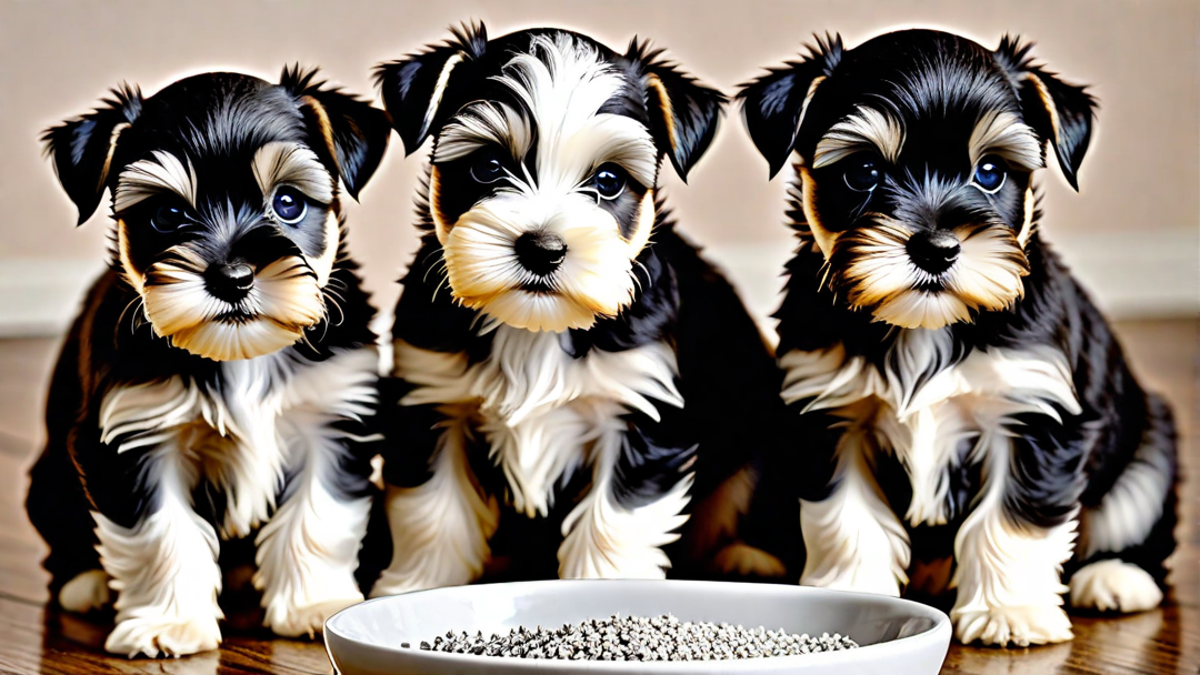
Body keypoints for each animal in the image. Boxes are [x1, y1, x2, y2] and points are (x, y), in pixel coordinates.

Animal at [27, 65, 388, 653]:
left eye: (288, 203)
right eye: (167, 215)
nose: (233, 277)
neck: (241, 352)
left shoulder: (332, 414)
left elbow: (318, 516)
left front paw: (314, 607)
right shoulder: (136, 434)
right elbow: (160, 533)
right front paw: (167, 625)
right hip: (50, 478)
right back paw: (86, 584)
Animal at [367, 21, 787, 590]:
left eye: (608, 181)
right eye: (487, 167)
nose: (543, 248)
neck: (536, 328)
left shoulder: (639, 408)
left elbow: (611, 523)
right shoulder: (431, 397)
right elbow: (433, 511)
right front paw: (417, 588)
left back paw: (745, 558)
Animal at [734, 31, 1176, 648]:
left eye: (989, 172)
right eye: (863, 172)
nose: (937, 248)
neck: (927, 326)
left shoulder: (1035, 414)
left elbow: (1013, 521)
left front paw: (1010, 613)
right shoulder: (829, 413)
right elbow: (846, 516)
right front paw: (848, 592)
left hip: (1149, 446)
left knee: (1134, 515)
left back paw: (1115, 576)